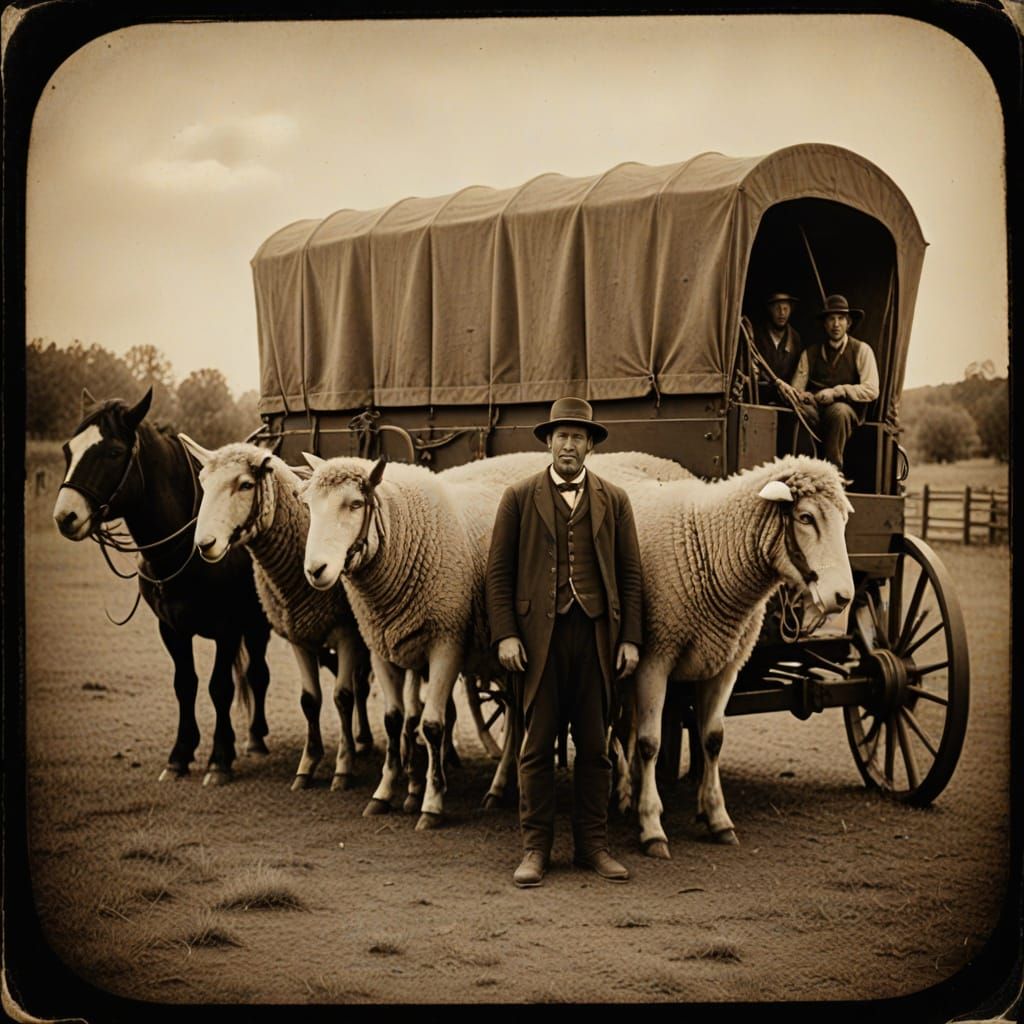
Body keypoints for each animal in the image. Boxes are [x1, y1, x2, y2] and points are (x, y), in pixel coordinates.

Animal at [178, 436, 375, 792]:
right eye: (203, 482)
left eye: (245, 484)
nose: (205, 544)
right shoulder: (299, 633)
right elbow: (310, 700)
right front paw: (308, 765)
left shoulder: (346, 632)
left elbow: (342, 697)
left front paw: (343, 768)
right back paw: (365, 740)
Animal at [623, 454, 855, 859]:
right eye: (805, 517)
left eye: (843, 520)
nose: (843, 597)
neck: (705, 543)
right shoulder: (655, 658)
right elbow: (650, 743)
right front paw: (652, 826)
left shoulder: (726, 663)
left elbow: (713, 738)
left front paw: (717, 818)